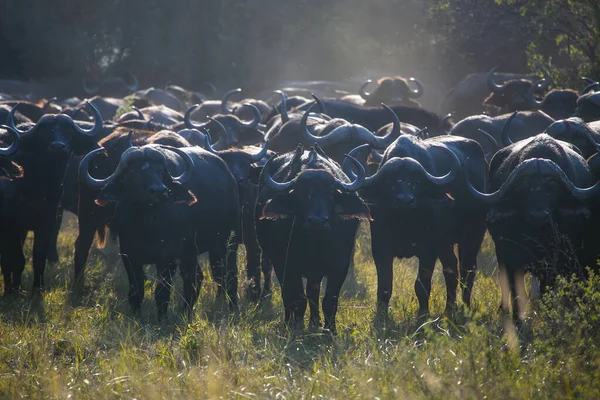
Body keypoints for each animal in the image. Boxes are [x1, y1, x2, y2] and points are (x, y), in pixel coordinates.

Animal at [79, 142, 239, 318]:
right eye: (134, 172)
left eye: (160, 171)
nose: (159, 190)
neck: (146, 223)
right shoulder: (129, 256)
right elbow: (136, 291)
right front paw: (136, 316)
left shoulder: (168, 257)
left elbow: (162, 292)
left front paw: (161, 318)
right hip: (190, 251)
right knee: (195, 277)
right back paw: (186, 312)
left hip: (225, 242)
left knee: (227, 275)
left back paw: (233, 309)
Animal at [256, 145, 370, 332]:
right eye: (301, 194)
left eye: (331, 194)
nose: (318, 222)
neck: (315, 243)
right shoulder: (288, 266)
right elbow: (298, 299)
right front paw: (297, 327)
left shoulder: (340, 266)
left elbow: (329, 300)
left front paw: (330, 331)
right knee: (288, 296)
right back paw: (289, 322)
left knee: (312, 294)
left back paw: (314, 323)